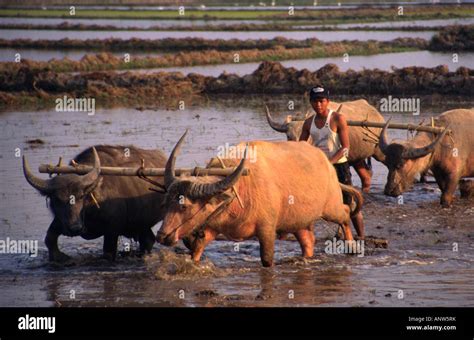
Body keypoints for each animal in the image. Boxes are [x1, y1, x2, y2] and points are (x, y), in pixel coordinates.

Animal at [24, 145, 168, 260]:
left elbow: (108, 252)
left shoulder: (112, 229)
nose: (75, 228)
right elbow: (49, 238)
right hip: (141, 223)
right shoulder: (61, 220)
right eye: (57, 200)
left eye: (81, 196)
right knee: (148, 239)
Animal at [156, 131, 362, 266]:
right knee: (308, 241)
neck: (240, 190)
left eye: (184, 206)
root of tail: (326, 161)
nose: (162, 236)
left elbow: (267, 260)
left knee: (345, 213)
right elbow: (197, 251)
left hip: (330, 208)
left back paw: (352, 247)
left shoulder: (267, 230)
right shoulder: (211, 226)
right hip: (298, 220)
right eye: (165, 204)